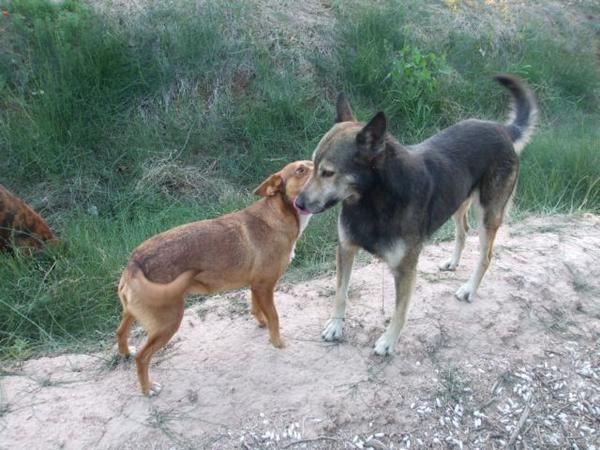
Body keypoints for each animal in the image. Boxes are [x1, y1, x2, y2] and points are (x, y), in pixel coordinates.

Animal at [116, 160, 314, 396]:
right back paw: (148, 388)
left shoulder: (256, 286)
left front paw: (262, 323)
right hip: (168, 323)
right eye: (301, 170)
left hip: (132, 312)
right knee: (142, 357)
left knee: (120, 332)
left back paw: (125, 352)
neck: (279, 213)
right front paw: (277, 342)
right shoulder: (265, 286)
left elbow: (257, 309)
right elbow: (275, 317)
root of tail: (135, 262)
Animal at [298, 73, 536, 356]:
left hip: (488, 214)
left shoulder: (405, 268)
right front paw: (336, 325)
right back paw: (453, 262)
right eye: (312, 166)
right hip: (458, 201)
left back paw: (469, 289)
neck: (372, 200)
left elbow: (400, 310)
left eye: (328, 173)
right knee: (463, 231)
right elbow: (340, 292)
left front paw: (388, 341)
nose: (298, 203)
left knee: (486, 255)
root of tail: (501, 129)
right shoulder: (345, 249)